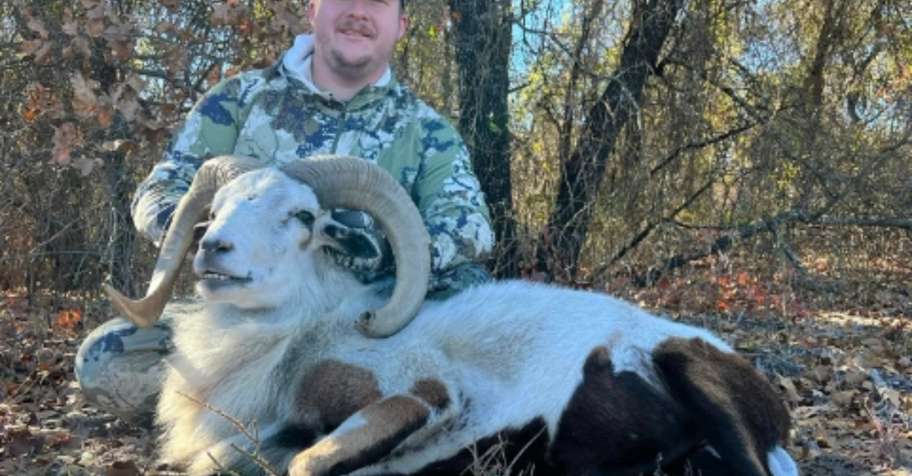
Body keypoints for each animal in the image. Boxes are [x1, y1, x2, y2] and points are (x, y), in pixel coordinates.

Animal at [104, 155, 799, 476]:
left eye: (302, 215)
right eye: (216, 208)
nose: (213, 249)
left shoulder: (424, 398)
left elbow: (308, 461)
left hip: (689, 370)